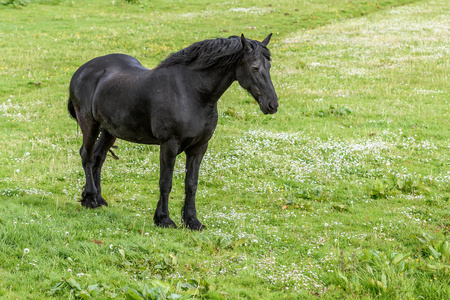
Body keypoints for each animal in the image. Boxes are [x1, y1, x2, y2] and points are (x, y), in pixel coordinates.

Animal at [67, 33, 278, 230]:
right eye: (254, 68)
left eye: (268, 67)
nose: (272, 105)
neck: (191, 93)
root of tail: (83, 70)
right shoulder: (169, 145)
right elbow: (165, 182)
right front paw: (164, 219)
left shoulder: (199, 147)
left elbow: (191, 184)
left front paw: (192, 221)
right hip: (90, 124)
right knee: (87, 155)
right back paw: (90, 199)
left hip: (109, 130)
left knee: (98, 157)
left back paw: (98, 198)